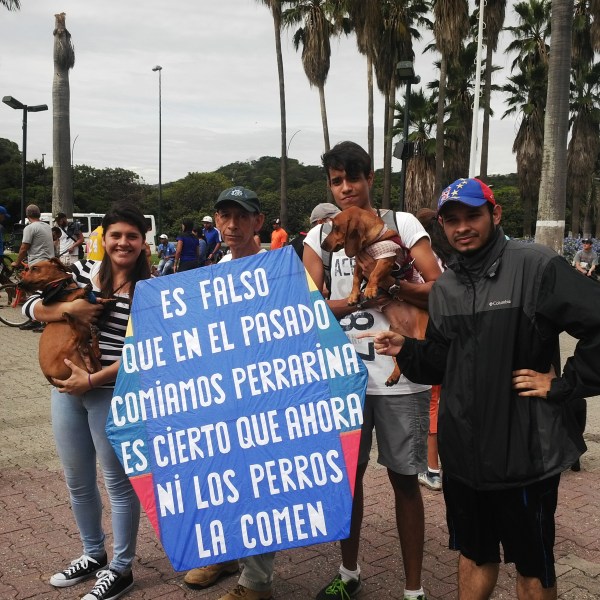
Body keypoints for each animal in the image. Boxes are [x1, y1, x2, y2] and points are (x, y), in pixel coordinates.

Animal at [322, 206, 428, 384]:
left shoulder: (386, 258)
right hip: (395, 338)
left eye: (336, 227)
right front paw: (353, 296)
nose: (323, 245)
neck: (372, 242)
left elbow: (374, 273)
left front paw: (370, 289)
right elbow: (356, 280)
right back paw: (393, 376)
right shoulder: (359, 264)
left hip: (422, 333)